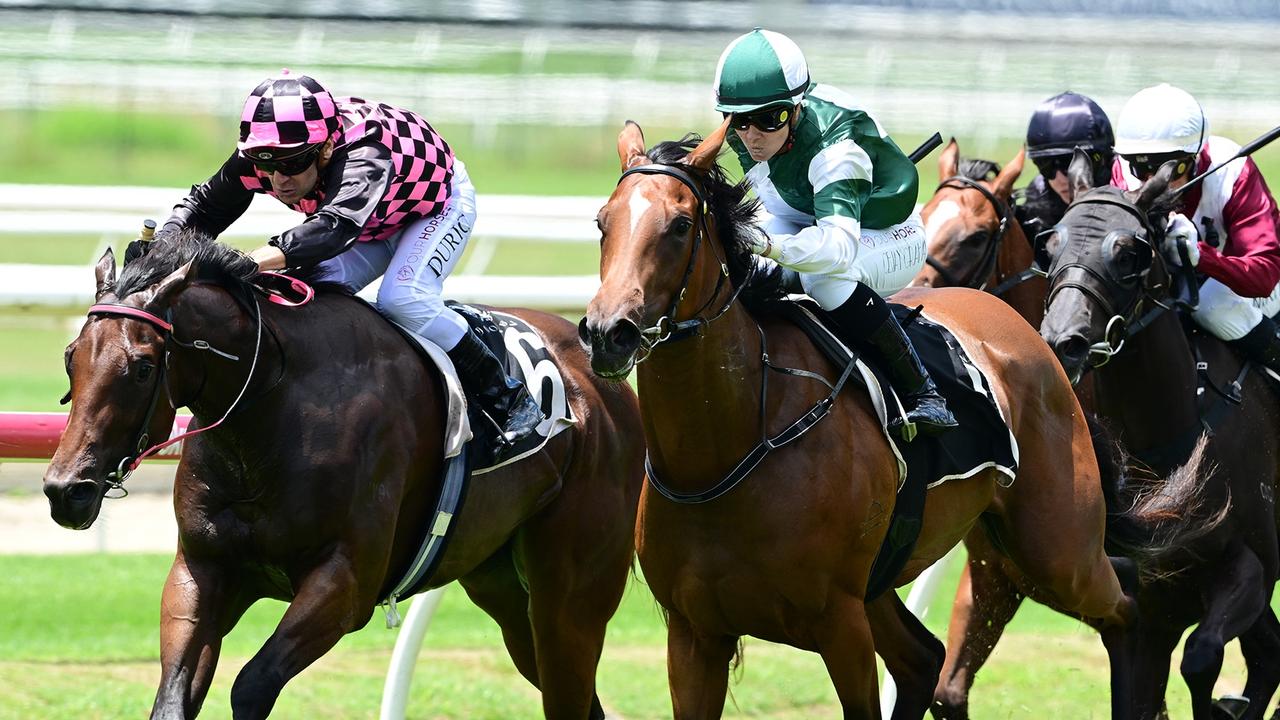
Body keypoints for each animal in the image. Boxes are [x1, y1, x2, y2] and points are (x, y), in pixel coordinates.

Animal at [45, 233, 645, 712]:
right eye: (71, 357)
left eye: (143, 367)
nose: (66, 490)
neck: (274, 403)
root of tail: (603, 381)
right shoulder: (204, 569)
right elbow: (174, 693)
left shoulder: (344, 583)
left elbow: (252, 685)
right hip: (502, 588)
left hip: (569, 598)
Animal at [576, 120, 1182, 712]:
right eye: (603, 222)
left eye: (680, 225)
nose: (609, 332)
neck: (725, 451)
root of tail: (1037, 339)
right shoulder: (694, 635)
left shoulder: (839, 625)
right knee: (924, 660)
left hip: (1057, 551)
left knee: (1127, 610)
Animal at [1039, 152, 1280, 717]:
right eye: (1051, 245)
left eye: (1129, 252)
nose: (1063, 341)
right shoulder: (1142, 613)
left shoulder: (1251, 571)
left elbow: (1203, 656)